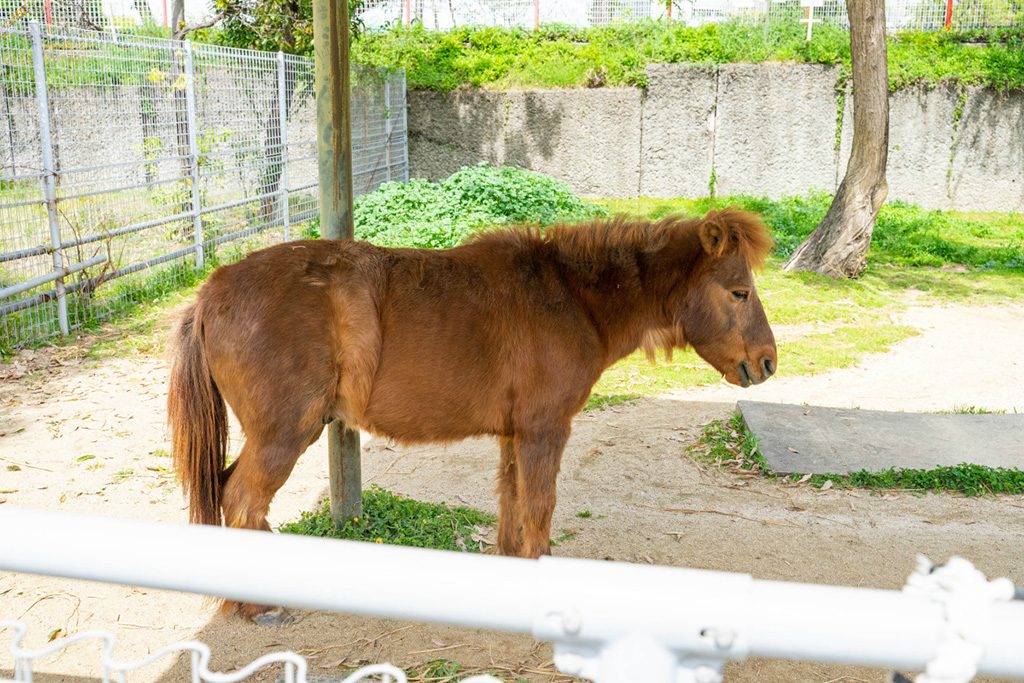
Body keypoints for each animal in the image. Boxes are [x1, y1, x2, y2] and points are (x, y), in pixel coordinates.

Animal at [168, 208, 777, 620]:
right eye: (739, 292)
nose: (768, 361)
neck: (571, 298)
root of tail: (212, 291)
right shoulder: (544, 432)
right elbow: (539, 505)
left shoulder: (516, 434)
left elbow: (512, 503)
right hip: (283, 437)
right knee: (241, 501)